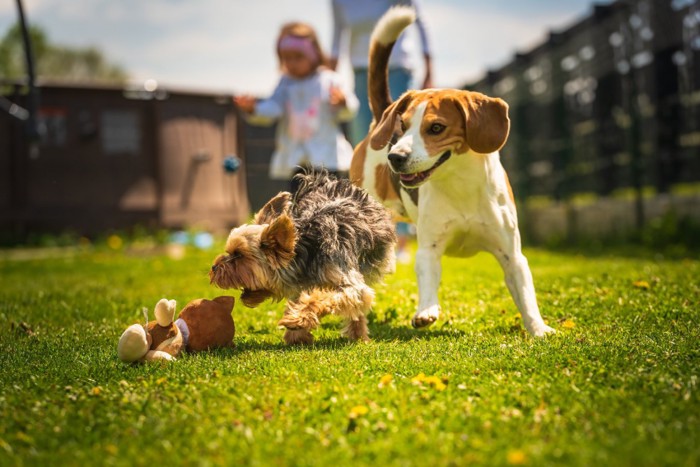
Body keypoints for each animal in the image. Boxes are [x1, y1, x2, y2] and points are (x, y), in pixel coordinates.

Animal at [208, 170, 396, 346]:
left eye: (238, 255)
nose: (213, 268)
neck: (305, 252)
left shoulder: (348, 281)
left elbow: (324, 297)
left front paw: (297, 320)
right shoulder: (300, 284)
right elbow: (301, 300)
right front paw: (297, 335)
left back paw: (358, 336)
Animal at [348, 6, 556, 336]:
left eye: (436, 128)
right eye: (403, 126)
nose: (395, 156)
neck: (461, 185)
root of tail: (378, 121)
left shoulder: (512, 254)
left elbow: (526, 295)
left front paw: (538, 329)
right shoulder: (429, 249)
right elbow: (427, 281)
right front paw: (426, 311)